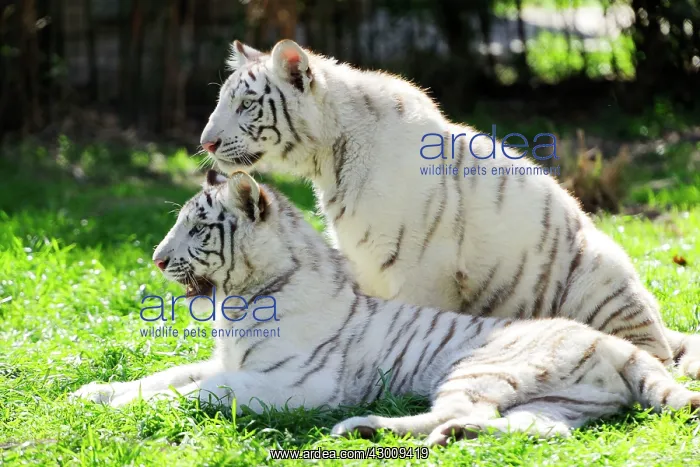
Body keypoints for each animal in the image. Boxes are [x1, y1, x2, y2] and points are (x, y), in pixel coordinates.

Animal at [70, 171, 700, 444]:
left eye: (198, 228)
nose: (155, 260)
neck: (243, 298)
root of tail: (618, 347)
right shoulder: (227, 362)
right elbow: (165, 376)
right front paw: (90, 395)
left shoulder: (288, 385)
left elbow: (193, 394)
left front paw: (118, 410)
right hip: (558, 405)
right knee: (534, 429)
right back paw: (445, 439)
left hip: (479, 367)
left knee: (454, 408)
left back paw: (366, 429)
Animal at [198, 39, 700, 378]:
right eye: (222, 100)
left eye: (247, 104)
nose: (206, 143)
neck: (328, 157)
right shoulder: (363, 260)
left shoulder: (423, 267)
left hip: (602, 270)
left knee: (655, 357)